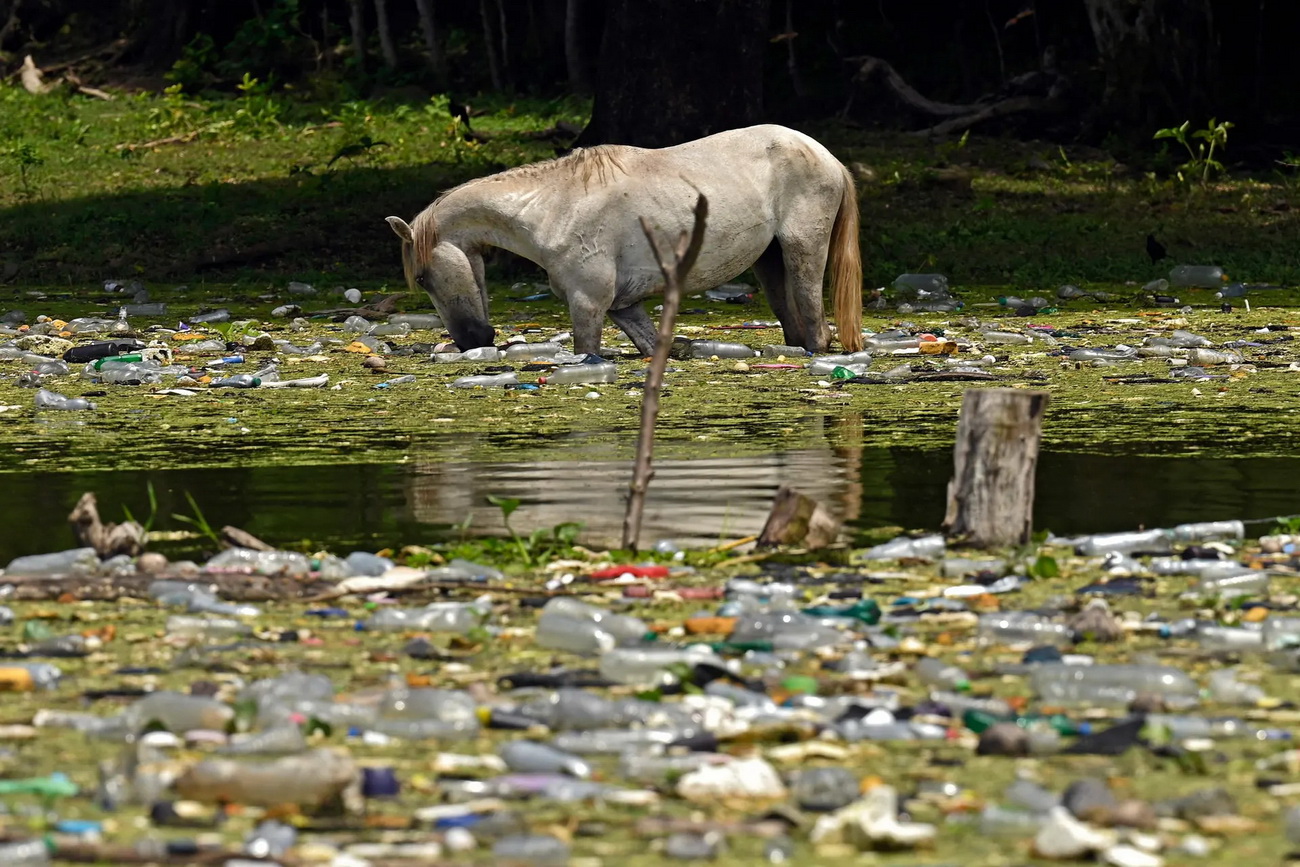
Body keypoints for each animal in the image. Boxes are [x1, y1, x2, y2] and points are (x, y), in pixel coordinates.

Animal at [386, 124, 863, 356]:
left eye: (423, 278)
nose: (473, 341)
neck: (552, 207)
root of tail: (827, 157)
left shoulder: (588, 306)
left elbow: (587, 350)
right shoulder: (623, 306)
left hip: (803, 254)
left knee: (817, 331)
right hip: (770, 263)